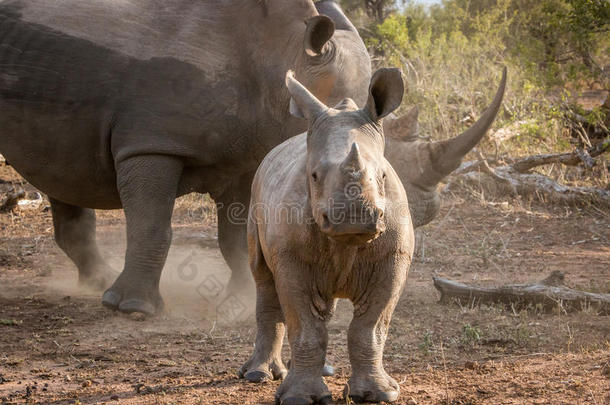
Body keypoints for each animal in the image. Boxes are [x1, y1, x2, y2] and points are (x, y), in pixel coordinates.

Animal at [0, 0, 368, 314]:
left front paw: (242, 299)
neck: (281, 53)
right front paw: (134, 309)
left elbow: (236, 236)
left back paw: (97, 282)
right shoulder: (151, 142)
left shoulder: (245, 158)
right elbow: (151, 225)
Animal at [239, 69, 414, 404]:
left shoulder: (392, 257)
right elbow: (306, 327)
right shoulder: (291, 258)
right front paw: (299, 397)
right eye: (314, 176)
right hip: (255, 191)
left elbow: (371, 328)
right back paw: (258, 375)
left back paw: (322, 370)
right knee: (262, 277)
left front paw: (380, 393)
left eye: (383, 176)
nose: (353, 220)